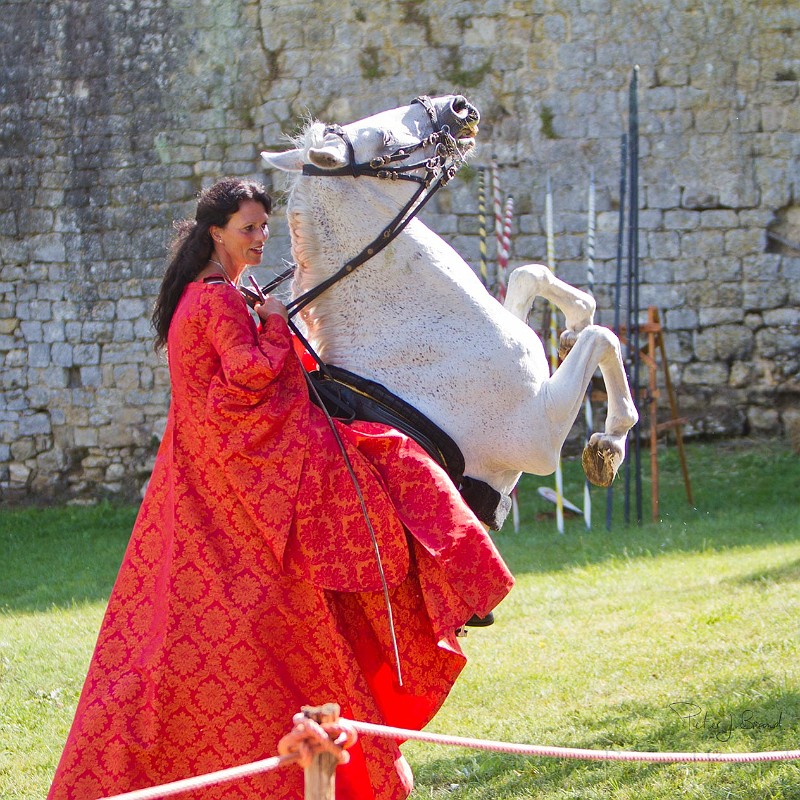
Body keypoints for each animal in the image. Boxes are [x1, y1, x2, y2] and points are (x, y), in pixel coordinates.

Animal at [262, 94, 636, 512]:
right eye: (385, 140)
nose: (458, 105)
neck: (418, 322)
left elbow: (529, 275)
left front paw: (575, 321)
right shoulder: (540, 433)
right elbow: (603, 338)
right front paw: (610, 443)